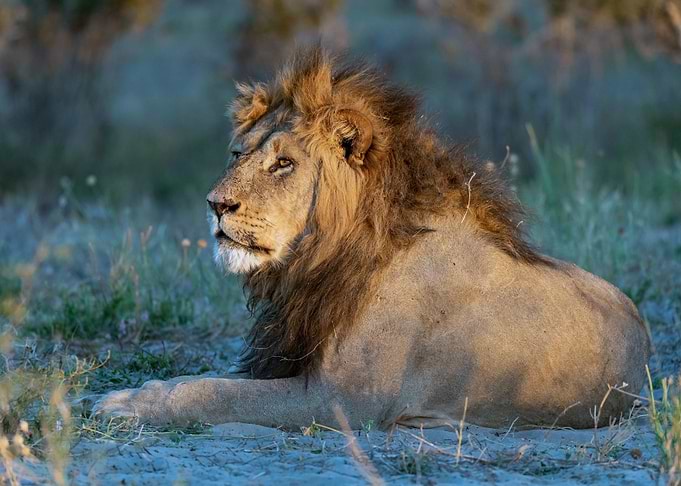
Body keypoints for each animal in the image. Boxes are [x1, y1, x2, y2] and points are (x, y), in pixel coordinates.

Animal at [95, 48, 650, 430]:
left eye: (283, 163)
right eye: (237, 154)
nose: (215, 204)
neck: (321, 257)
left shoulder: (342, 399)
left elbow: (215, 394)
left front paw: (126, 402)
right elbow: (209, 380)